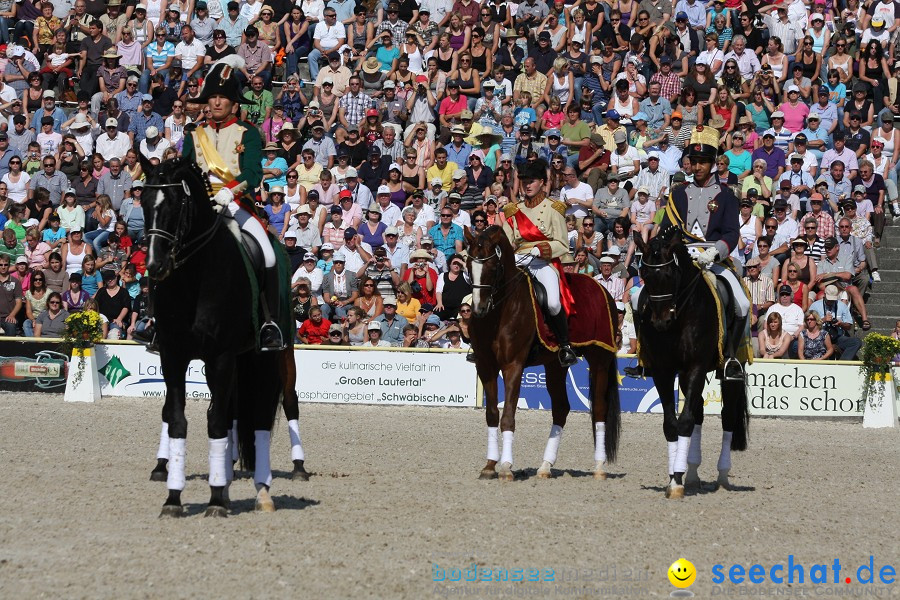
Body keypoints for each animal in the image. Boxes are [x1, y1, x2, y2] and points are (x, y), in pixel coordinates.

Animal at [143, 157, 292, 516]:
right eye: (143, 201)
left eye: (174, 205)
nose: (155, 265)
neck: (193, 278)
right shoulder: (173, 355)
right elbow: (177, 419)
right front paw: (174, 498)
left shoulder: (220, 356)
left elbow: (216, 422)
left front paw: (213, 500)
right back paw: (224, 485)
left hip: (266, 359)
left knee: (259, 418)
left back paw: (262, 494)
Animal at [464, 227, 620, 480]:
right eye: (469, 265)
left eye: (493, 267)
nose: (479, 309)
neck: (500, 311)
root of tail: (602, 289)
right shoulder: (485, 366)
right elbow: (492, 415)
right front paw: (489, 466)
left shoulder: (513, 365)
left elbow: (508, 416)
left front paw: (505, 467)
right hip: (555, 365)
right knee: (561, 408)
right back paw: (545, 466)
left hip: (599, 360)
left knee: (598, 409)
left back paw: (598, 467)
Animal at [632, 227, 752, 500]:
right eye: (644, 275)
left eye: (669, 274)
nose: (661, 322)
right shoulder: (663, 372)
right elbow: (671, 424)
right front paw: (675, 477)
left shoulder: (696, 366)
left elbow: (685, 422)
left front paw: (677, 479)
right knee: (698, 414)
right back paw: (693, 475)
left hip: (730, 370)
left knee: (728, 417)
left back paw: (722, 476)